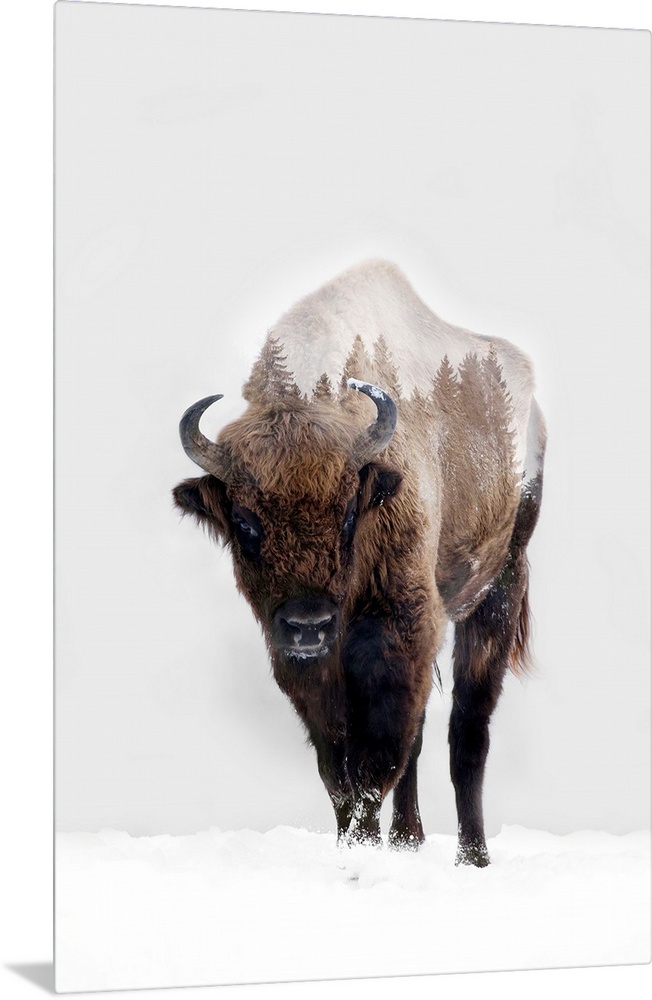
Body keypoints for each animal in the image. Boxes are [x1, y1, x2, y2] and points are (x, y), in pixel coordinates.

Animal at [173, 260, 545, 865]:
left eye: (351, 512)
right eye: (245, 523)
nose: (307, 625)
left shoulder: (401, 630)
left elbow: (376, 762)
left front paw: (366, 850)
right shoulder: (305, 664)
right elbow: (340, 770)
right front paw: (359, 848)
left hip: (499, 585)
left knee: (468, 729)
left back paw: (473, 856)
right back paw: (408, 841)